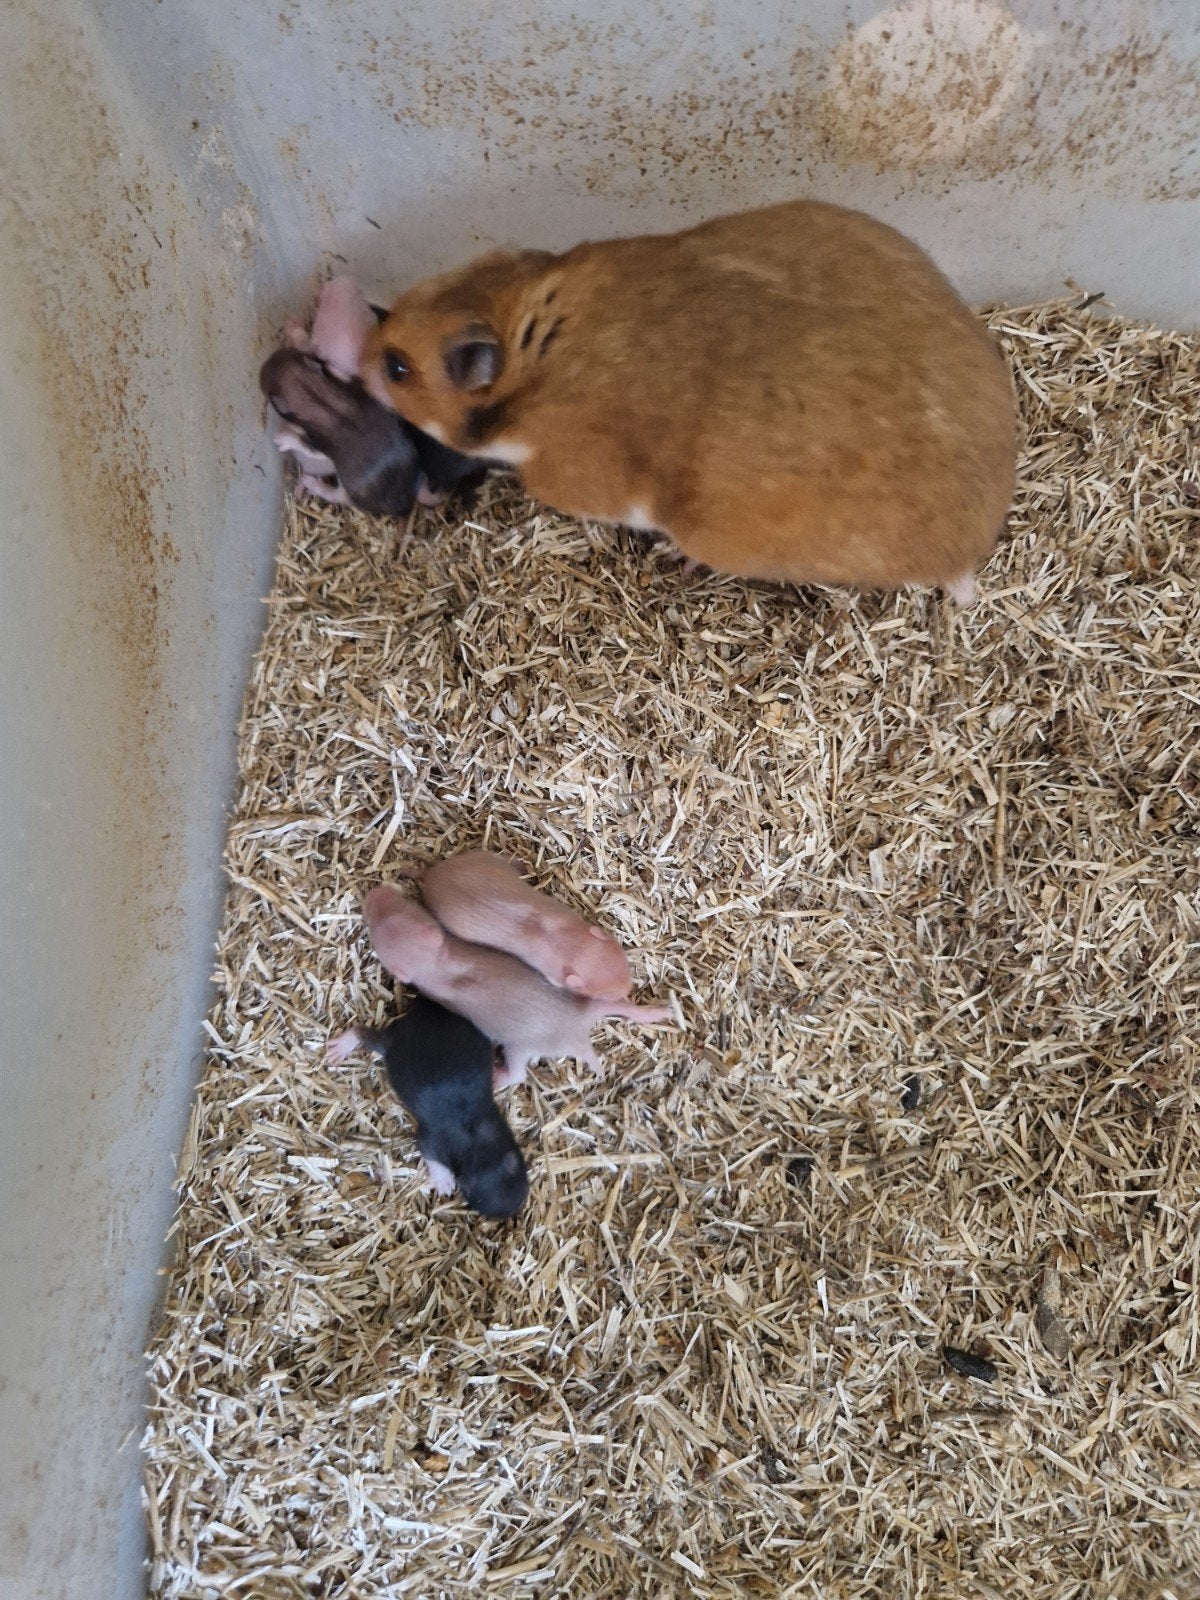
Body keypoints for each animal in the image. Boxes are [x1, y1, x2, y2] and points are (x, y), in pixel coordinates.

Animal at [327, 992, 528, 1218]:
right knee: (364, 1034)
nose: (513, 1212)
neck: (477, 1141)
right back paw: (345, 1043)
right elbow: (427, 1149)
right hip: (395, 1044)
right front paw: (444, 1182)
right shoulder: (434, 1137)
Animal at [363, 885, 672, 1085]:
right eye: (399, 910)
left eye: (376, 928)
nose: (374, 893)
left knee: (518, 1074)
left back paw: (499, 1077)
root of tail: (578, 1030)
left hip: (519, 1046)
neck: (440, 958)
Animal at [417, 849, 632, 1000]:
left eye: (623, 959)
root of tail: (432, 874)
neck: (566, 944)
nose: (628, 988)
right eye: (605, 995)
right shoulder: (548, 968)